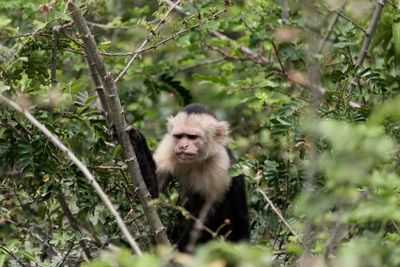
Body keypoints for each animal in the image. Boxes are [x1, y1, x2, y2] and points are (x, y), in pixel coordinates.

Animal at [154, 103, 250, 252]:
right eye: (179, 136)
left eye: (193, 137)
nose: (183, 146)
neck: (196, 160)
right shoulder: (169, 146)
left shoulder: (220, 166)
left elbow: (204, 218)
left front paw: (177, 253)